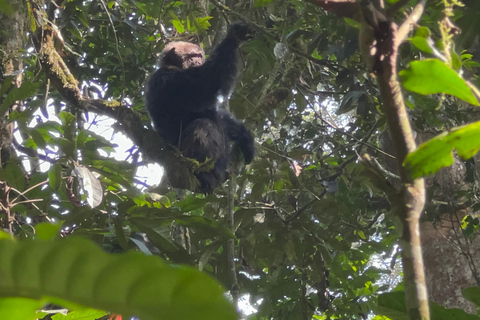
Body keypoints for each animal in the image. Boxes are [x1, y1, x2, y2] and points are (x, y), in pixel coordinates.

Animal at [145, 23, 255, 192]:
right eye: (191, 56)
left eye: (198, 56)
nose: (197, 61)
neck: (173, 66)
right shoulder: (172, 81)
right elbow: (210, 80)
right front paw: (234, 35)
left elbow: (219, 116)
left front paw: (246, 138)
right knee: (202, 126)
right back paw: (204, 175)